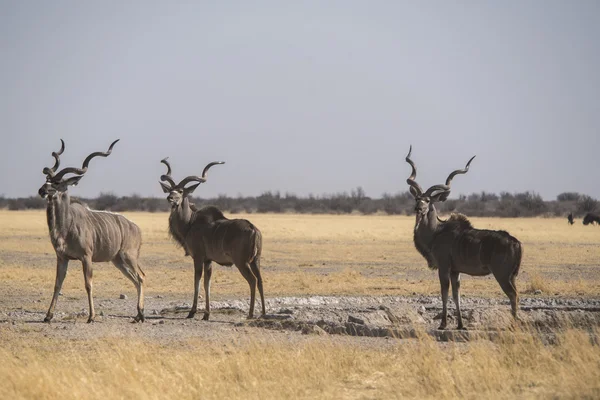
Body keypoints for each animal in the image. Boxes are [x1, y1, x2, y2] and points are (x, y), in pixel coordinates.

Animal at [38, 139, 145, 324]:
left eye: (58, 183)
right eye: (47, 180)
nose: (42, 190)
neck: (66, 227)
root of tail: (135, 227)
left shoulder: (86, 257)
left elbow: (88, 284)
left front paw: (91, 316)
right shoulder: (62, 257)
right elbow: (57, 284)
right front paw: (48, 316)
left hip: (129, 257)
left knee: (140, 277)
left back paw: (141, 314)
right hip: (118, 261)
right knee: (136, 279)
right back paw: (138, 315)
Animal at [159, 158, 264, 320]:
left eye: (181, 191)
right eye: (170, 189)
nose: (170, 198)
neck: (190, 223)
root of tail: (253, 229)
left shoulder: (198, 257)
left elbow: (197, 281)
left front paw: (192, 312)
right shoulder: (208, 260)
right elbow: (207, 283)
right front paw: (206, 314)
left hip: (242, 262)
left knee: (252, 280)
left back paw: (251, 314)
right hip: (255, 261)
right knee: (260, 281)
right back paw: (263, 314)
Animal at [406, 146, 524, 328]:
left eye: (428, 200)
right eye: (417, 198)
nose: (418, 208)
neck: (436, 232)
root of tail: (516, 243)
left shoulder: (444, 267)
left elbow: (444, 294)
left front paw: (443, 324)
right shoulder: (456, 271)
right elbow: (457, 296)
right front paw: (460, 325)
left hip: (502, 275)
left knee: (513, 295)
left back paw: (513, 324)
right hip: (511, 276)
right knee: (515, 294)